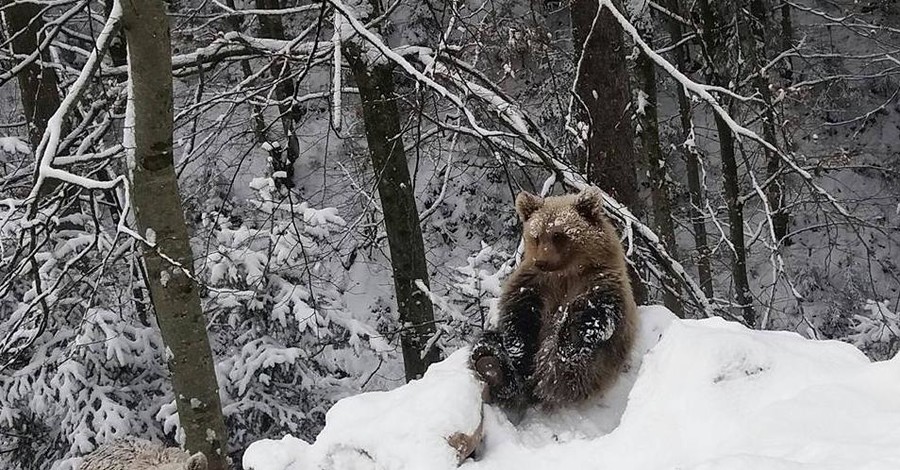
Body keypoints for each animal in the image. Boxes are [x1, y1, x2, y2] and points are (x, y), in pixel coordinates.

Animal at [468, 187, 636, 412]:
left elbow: (601, 312)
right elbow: (519, 315)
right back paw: (491, 366)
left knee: (569, 368)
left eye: (558, 234)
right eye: (536, 236)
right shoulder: (534, 284)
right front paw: (519, 353)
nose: (542, 261)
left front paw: (577, 325)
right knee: (487, 341)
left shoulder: (602, 280)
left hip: (601, 365)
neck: (565, 273)